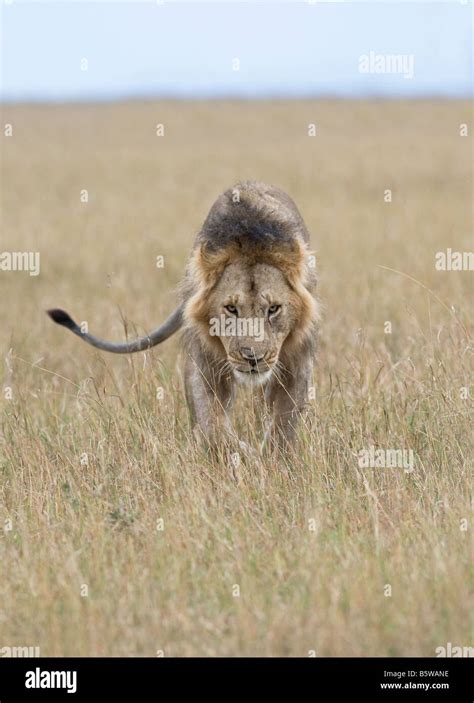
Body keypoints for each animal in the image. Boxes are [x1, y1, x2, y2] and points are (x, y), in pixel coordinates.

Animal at [48, 183, 318, 452]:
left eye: (273, 309)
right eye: (231, 308)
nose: (253, 358)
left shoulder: (297, 361)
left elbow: (283, 424)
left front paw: (271, 455)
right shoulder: (203, 361)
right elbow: (212, 426)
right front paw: (241, 451)